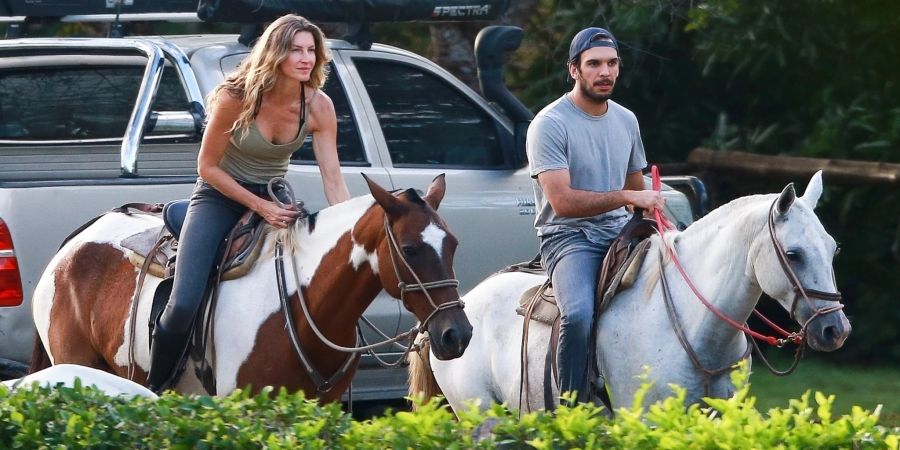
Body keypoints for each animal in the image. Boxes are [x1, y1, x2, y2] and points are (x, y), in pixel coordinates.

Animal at [29, 176, 472, 400]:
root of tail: (73, 243)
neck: (302, 306)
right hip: (77, 365)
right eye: (411, 249)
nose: (458, 334)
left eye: (453, 244)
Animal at [414, 171, 852, 412]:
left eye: (834, 248)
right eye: (793, 254)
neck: (693, 326)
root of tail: (450, 312)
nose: (836, 330)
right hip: (479, 415)